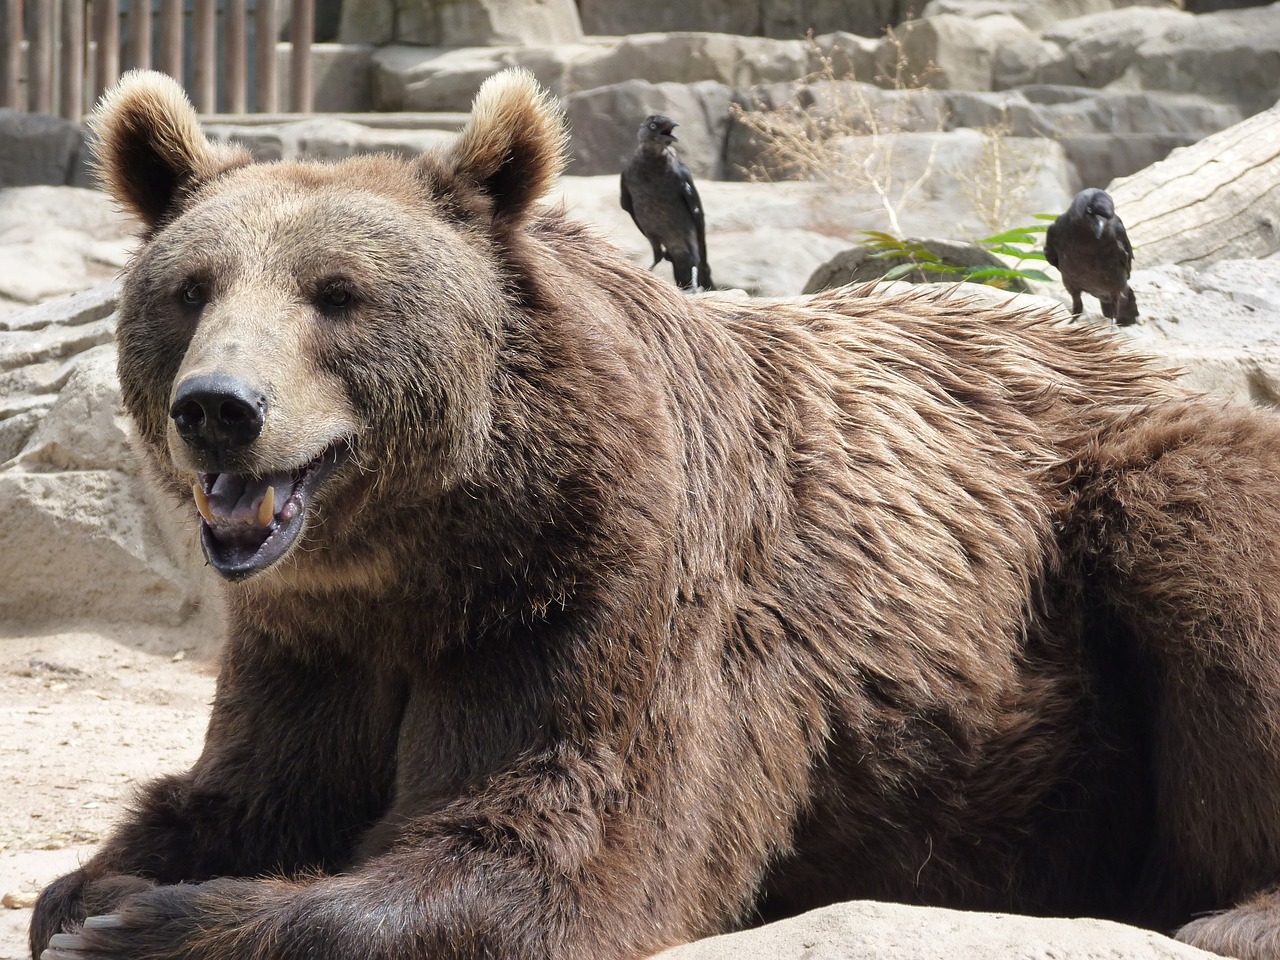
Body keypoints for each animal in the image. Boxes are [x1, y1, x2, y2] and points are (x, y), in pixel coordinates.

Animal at [27, 67, 1280, 960]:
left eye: (337, 294)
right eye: (190, 289)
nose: (218, 410)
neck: (423, 549)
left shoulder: (597, 587)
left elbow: (550, 843)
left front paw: (143, 927)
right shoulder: (313, 639)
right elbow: (247, 789)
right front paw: (93, 889)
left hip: (1113, 530)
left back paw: (1232, 910)